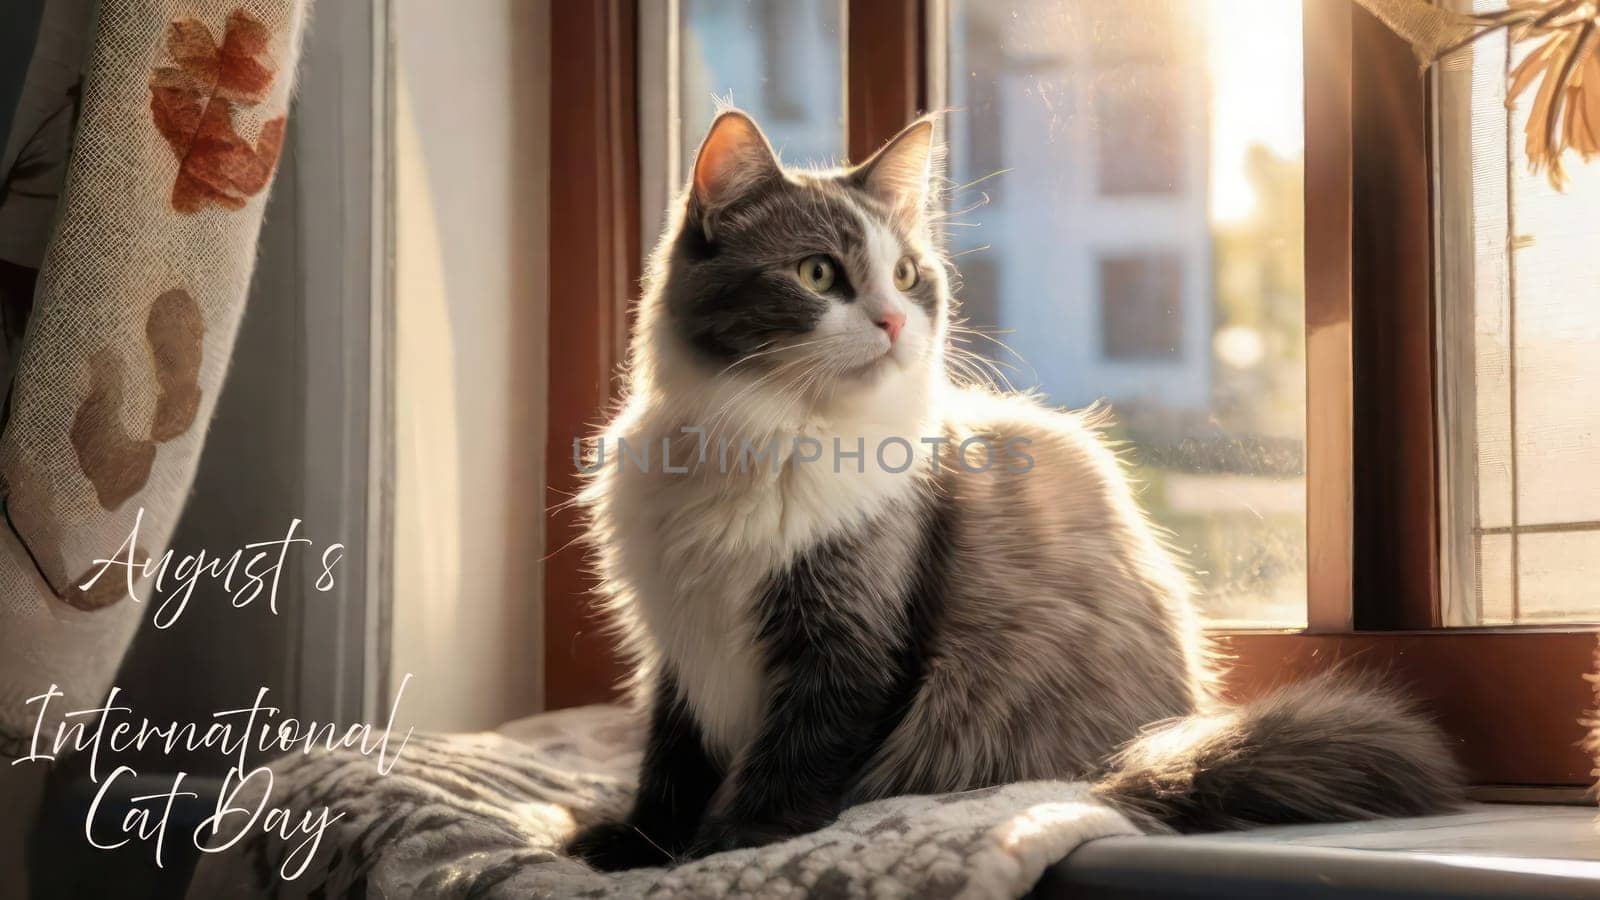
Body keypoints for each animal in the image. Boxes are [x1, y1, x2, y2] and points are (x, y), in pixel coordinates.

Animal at [566, 106, 1465, 871]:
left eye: (906, 274)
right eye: (818, 274)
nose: (894, 321)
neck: (767, 435)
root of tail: (1121, 775)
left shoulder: (847, 640)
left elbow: (792, 761)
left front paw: (722, 848)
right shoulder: (676, 640)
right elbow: (671, 761)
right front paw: (632, 845)